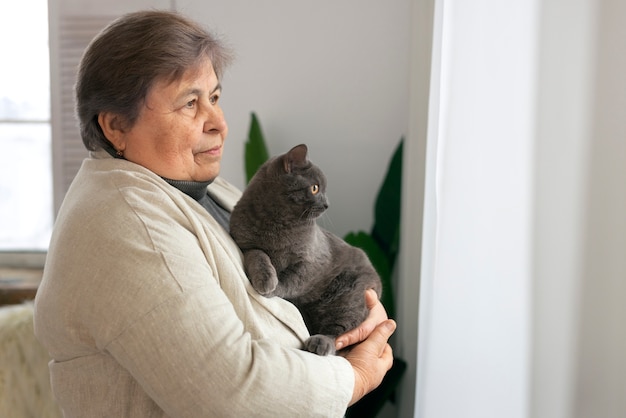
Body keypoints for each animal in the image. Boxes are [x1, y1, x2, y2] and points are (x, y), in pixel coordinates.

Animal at [229, 144, 380, 356]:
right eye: (315, 188)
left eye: (322, 189)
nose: (327, 204)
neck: (277, 223)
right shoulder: (247, 244)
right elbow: (259, 255)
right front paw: (266, 279)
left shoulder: (310, 262)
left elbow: (292, 280)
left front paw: (274, 289)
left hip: (352, 295)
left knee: (339, 330)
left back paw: (320, 342)